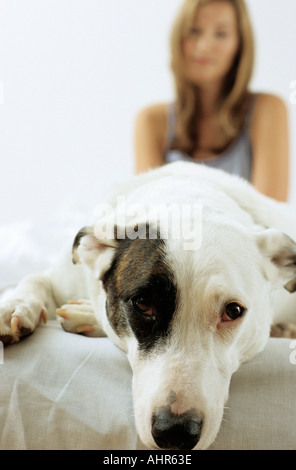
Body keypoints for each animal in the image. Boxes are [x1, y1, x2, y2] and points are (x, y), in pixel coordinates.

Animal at [0, 162, 296, 452]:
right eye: (142, 304)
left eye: (233, 311)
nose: (175, 433)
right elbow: (35, 278)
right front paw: (14, 306)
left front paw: (87, 315)